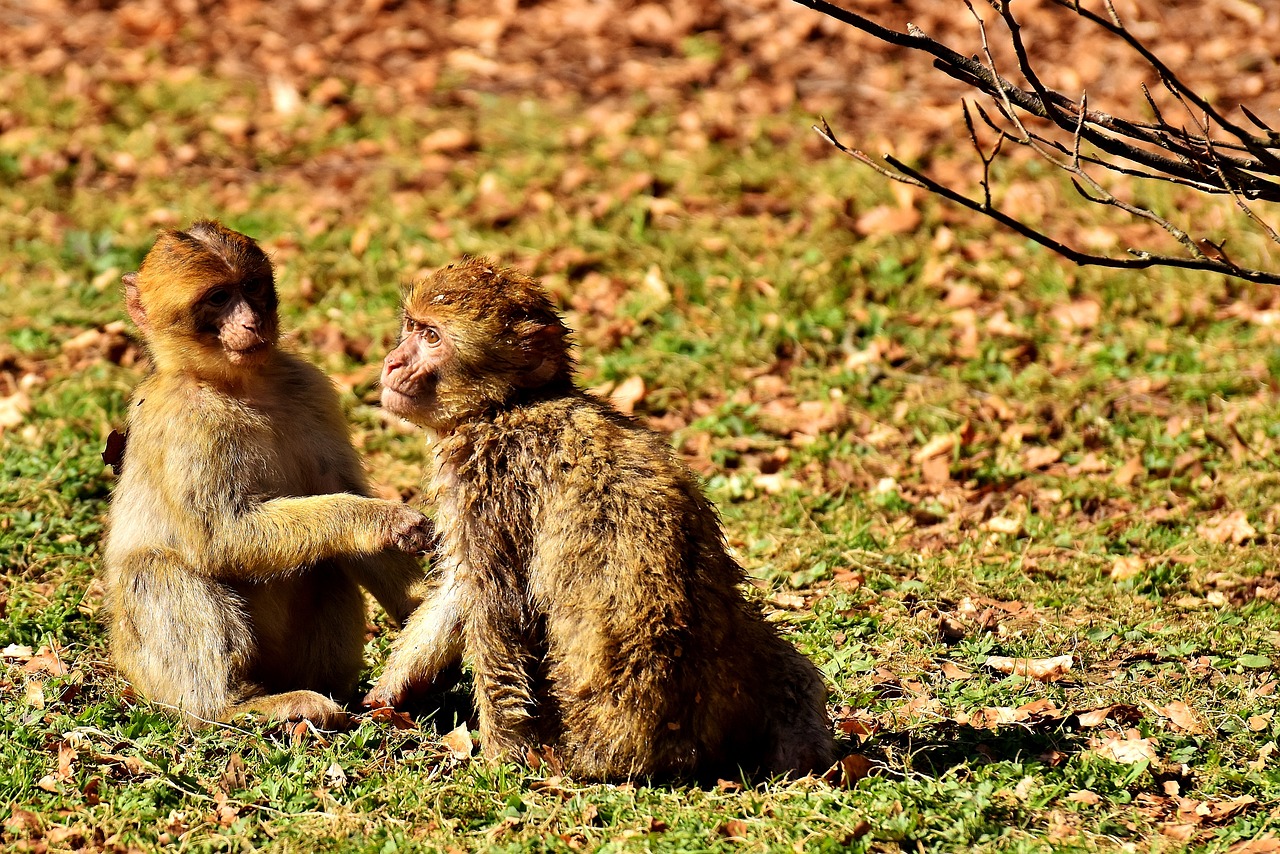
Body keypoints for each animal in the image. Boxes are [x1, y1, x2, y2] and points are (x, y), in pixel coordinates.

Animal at [104, 218, 435, 727]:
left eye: (252, 287)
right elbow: (221, 537)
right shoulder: (185, 422)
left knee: (327, 563)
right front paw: (381, 519)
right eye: (219, 298)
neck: (240, 385)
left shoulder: (311, 388)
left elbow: (342, 495)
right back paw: (239, 706)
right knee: (157, 569)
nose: (251, 322)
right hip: (150, 673)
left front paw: (427, 613)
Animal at [366, 256, 834, 783]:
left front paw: (503, 757)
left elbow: (495, 607)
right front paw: (394, 687)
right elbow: (459, 592)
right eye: (411, 327)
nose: (393, 362)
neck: (508, 406)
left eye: (431, 337)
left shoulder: (486, 481)